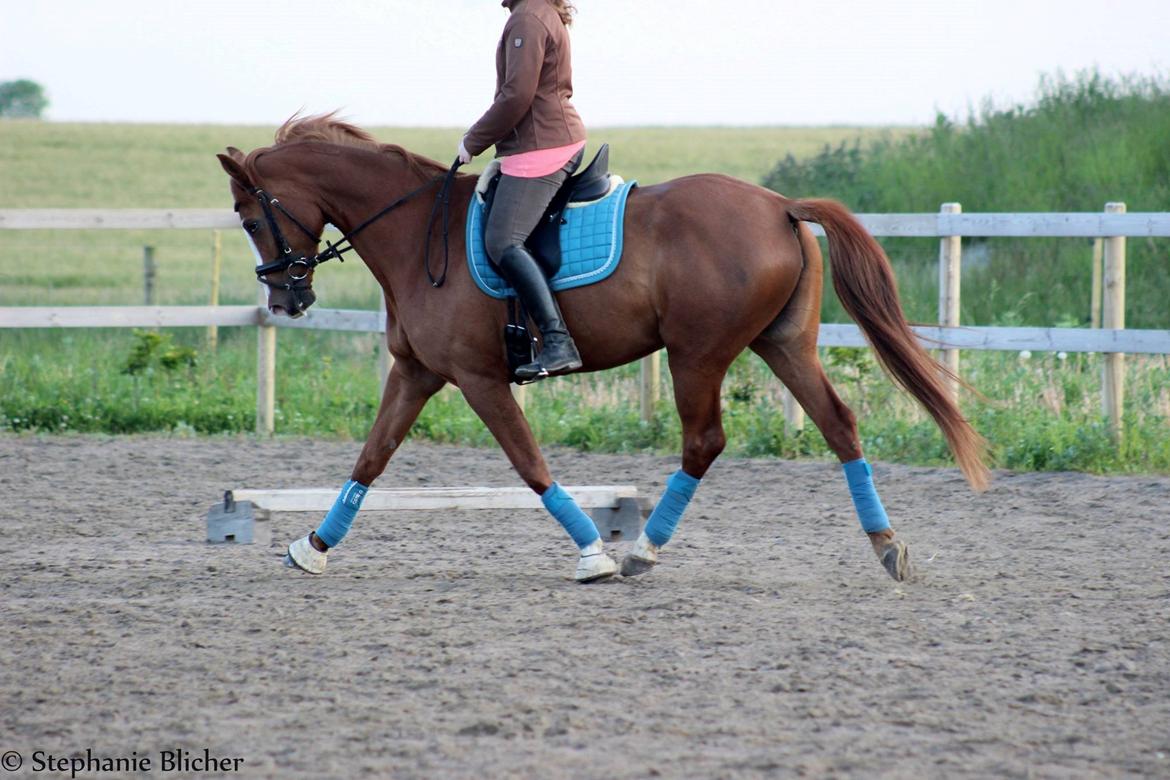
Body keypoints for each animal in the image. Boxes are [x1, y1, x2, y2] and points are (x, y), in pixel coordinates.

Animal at [219, 112, 987, 582]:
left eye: (251, 218)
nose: (286, 301)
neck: (415, 235)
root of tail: (779, 206)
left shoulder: (478, 378)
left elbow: (528, 464)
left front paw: (594, 553)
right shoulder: (416, 373)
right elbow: (371, 459)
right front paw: (312, 547)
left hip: (696, 354)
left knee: (704, 441)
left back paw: (643, 550)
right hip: (784, 346)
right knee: (839, 425)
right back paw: (887, 547)